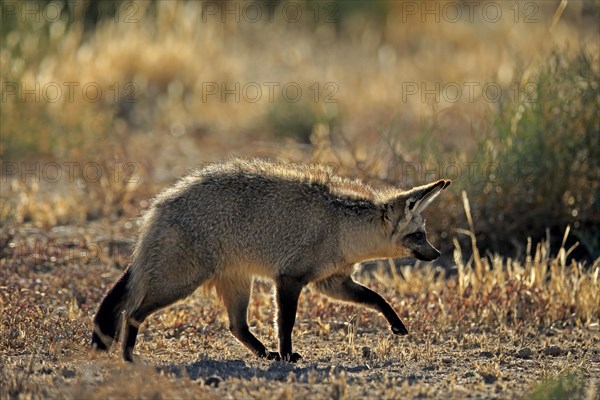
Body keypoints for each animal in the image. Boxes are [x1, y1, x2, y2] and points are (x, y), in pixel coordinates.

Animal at [91, 159, 450, 362]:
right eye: (419, 236)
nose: (437, 254)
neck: (342, 227)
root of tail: (158, 205)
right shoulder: (289, 279)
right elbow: (286, 322)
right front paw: (289, 354)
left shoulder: (332, 282)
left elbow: (377, 298)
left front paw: (397, 324)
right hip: (178, 285)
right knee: (133, 313)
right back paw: (128, 356)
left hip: (237, 285)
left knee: (237, 326)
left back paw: (266, 354)